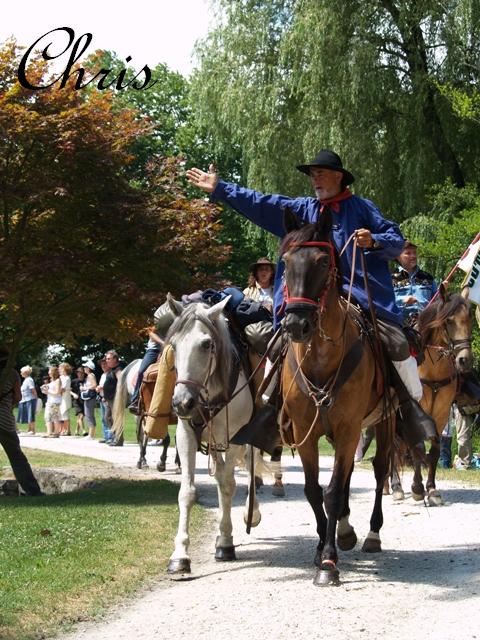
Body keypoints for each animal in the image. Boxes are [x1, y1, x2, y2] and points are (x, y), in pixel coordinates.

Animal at [165, 296, 262, 576]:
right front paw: (180, 556)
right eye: (174, 345)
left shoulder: (235, 437)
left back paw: (250, 514)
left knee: (249, 467)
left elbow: (229, 486)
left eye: (207, 344)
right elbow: (187, 493)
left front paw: (226, 543)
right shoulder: (185, 435)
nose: (182, 402)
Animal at [280, 208, 396, 588]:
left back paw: (371, 534)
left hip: (384, 422)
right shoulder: (306, 433)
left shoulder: (348, 429)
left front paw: (329, 563)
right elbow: (315, 490)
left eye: (321, 261)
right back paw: (344, 531)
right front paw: (321, 548)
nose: (296, 324)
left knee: (379, 470)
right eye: (286, 261)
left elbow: (331, 492)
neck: (321, 358)